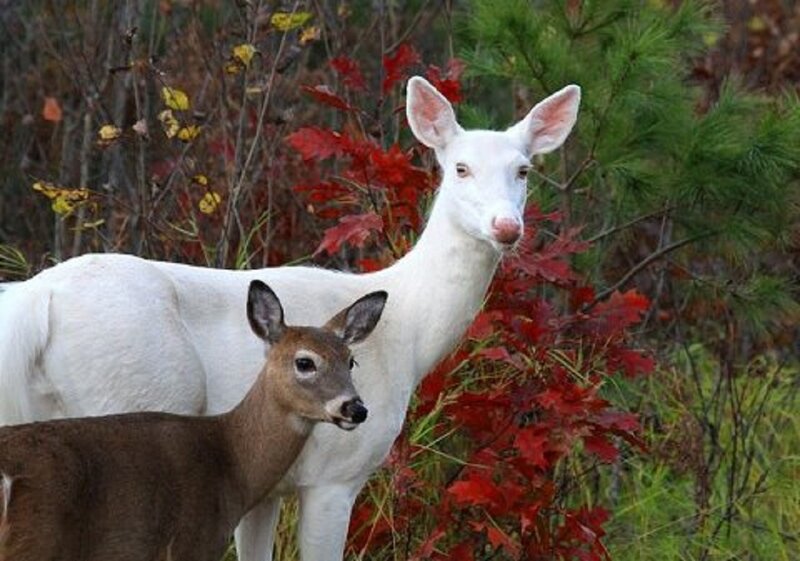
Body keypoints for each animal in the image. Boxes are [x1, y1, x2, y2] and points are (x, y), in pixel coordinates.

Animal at [0, 280, 386, 561]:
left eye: (350, 361)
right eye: (305, 362)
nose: (356, 408)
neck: (231, 462)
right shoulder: (195, 541)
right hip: (36, 540)